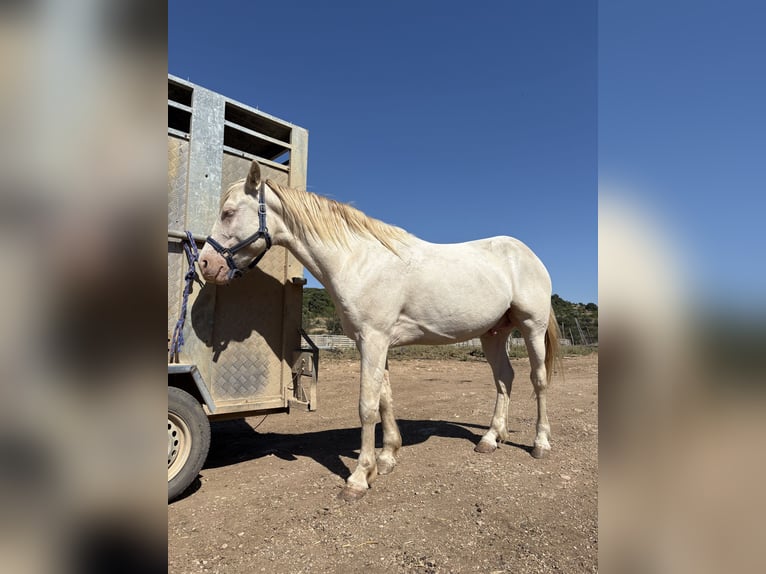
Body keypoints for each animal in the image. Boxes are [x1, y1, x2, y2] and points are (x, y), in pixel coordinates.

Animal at [198, 159, 561, 502]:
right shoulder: (374, 343)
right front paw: (386, 458)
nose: (205, 264)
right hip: (494, 334)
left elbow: (367, 405)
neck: (359, 260)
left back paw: (540, 443)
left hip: (531, 327)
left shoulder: (374, 339)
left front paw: (359, 478)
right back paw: (490, 438)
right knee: (504, 379)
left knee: (539, 381)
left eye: (228, 213)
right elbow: (385, 399)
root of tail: (528, 255)